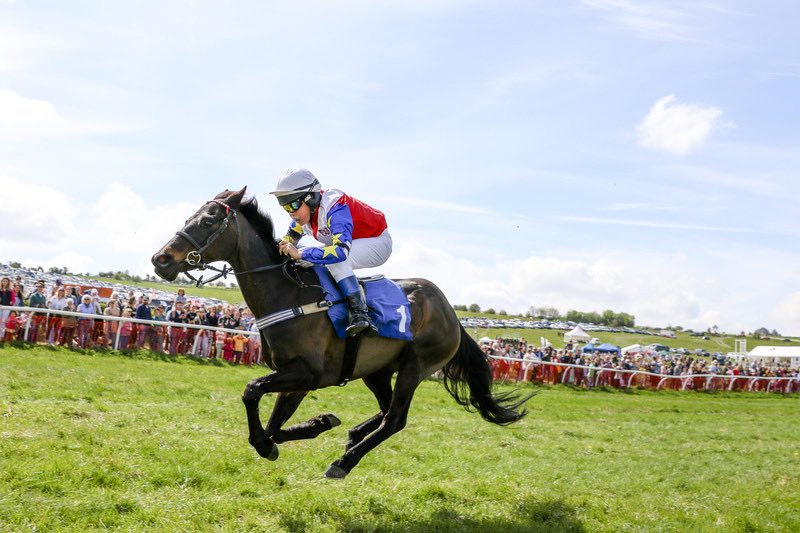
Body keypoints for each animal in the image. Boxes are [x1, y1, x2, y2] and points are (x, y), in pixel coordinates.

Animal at [153, 187, 536, 478]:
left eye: (208, 220)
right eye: (189, 218)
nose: (161, 259)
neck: (288, 294)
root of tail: (453, 315)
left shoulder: (306, 373)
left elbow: (252, 392)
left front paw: (271, 442)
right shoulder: (296, 379)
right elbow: (274, 426)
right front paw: (319, 422)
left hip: (416, 366)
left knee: (395, 419)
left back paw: (344, 461)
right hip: (376, 370)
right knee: (385, 410)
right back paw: (353, 435)